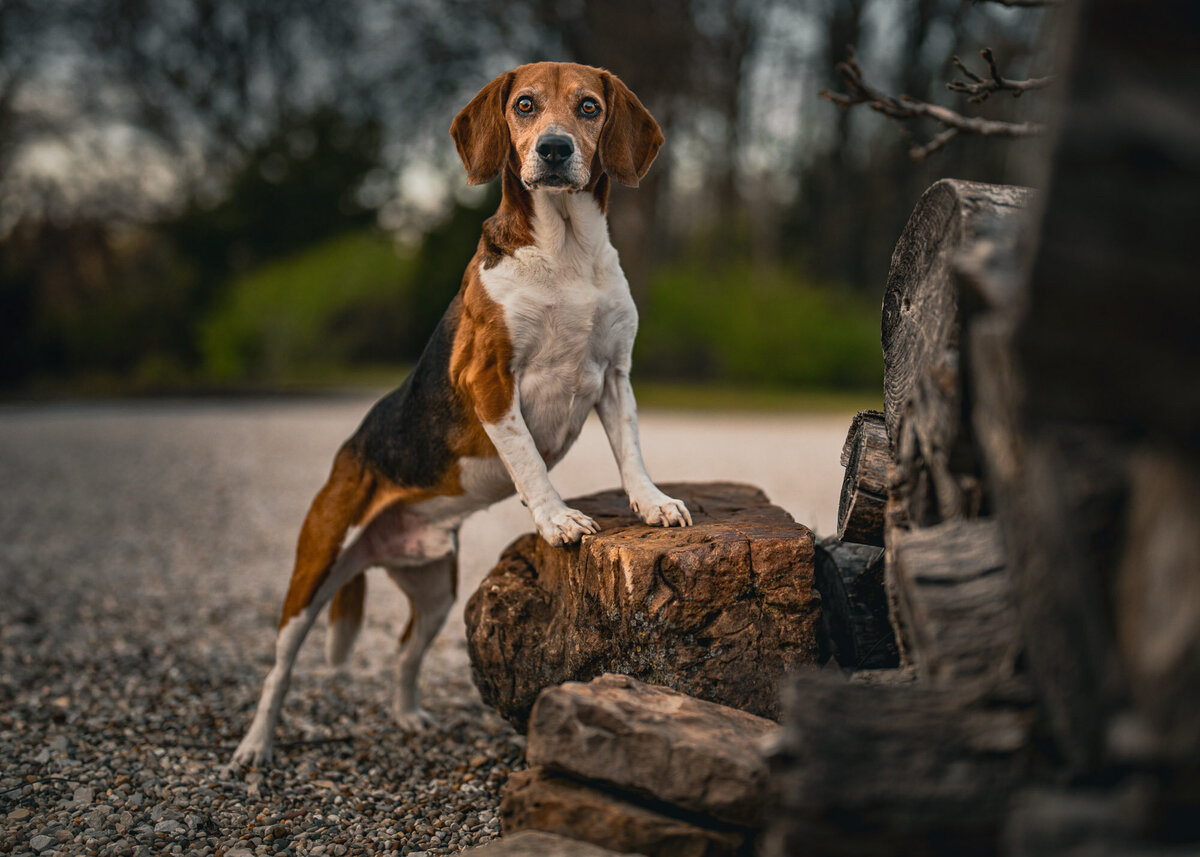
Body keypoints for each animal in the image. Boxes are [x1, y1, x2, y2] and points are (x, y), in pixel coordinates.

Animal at [228, 63, 691, 763]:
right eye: (525, 105)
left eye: (588, 107)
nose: (554, 149)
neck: (566, 252)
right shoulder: (491, 381)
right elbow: (528, 460)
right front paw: (557, 517)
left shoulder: (615, 377)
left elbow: (631, 451)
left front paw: (652, 503)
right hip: (314, 572)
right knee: (279, 667)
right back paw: (256, 747)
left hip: (438, 590)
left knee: (404, 653)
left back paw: (407, 717)